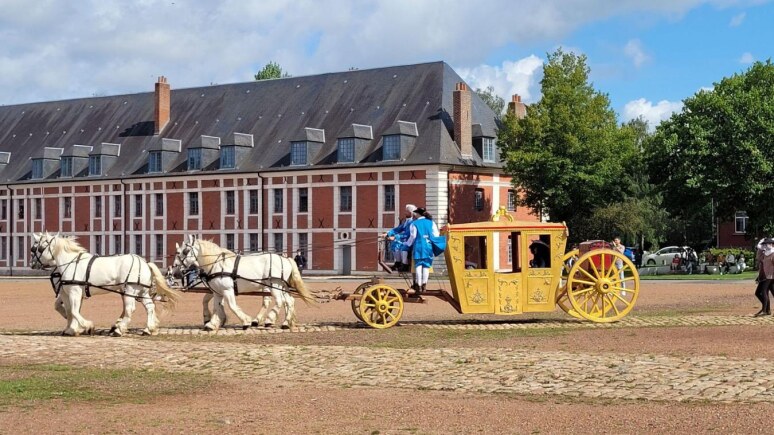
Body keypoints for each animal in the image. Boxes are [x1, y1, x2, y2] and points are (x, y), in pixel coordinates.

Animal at [31, 232, 182, 338]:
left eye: (36, 248)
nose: (32, 264)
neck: (71, 262)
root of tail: (144, 262)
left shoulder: (74, 291)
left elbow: (74, 311)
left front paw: (87, 326)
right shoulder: (67, 292)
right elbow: (69, 311)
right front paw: (71, 329)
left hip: (130, 290)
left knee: (130, 309)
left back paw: (119, 329)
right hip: (141, 292)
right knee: (149, 307)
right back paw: (148, 329)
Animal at [174, 237, 314, 332]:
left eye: (185, 251)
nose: (174, 272)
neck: (217, 264)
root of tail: (285, 258)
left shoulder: (227, 290)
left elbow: (232, 306)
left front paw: (245, 321)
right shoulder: (217, 291)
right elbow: (216, 307)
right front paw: (212, 323)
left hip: (274, 285)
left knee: (280, 301)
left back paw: (269, 320)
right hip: (282, 287)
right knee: (289, 301)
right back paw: (285, 322)